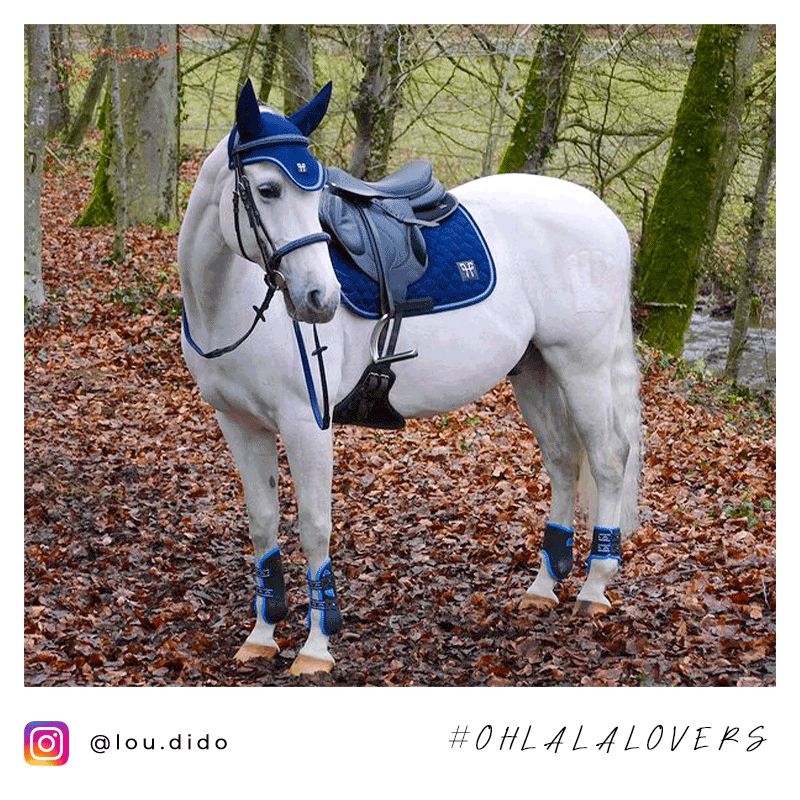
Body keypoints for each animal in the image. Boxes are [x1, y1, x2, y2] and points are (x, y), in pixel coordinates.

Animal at [178, 79, 641, 677]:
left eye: (314, 190)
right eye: (267, 189)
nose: (320, 299)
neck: (227, 301)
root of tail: (603, 215)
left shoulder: (307, 425)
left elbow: (314, 527)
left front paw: (316, 648)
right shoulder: (238, 424)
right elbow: (262, 523)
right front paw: (261, 636)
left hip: (580, 365)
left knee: (607, 460)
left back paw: (594, 588)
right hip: (535, 371)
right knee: (564, 461)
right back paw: (543, 587)